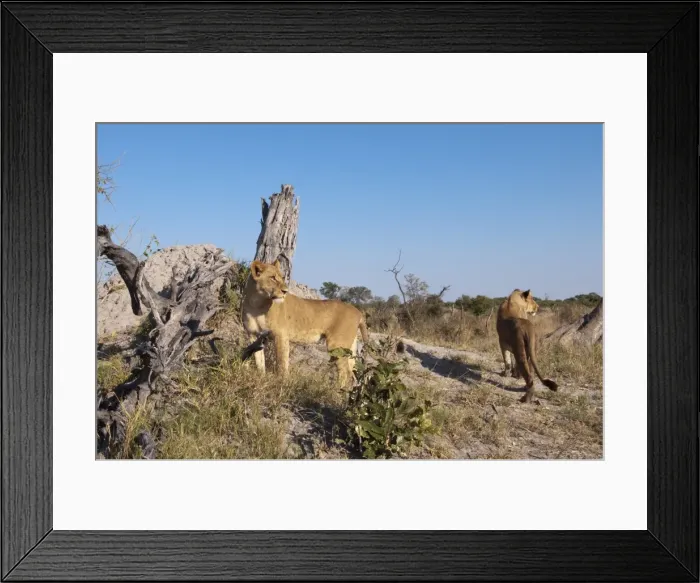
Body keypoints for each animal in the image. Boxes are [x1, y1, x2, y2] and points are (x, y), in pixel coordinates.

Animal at [241, 259, 370, 387]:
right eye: (272, 277)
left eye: (282, 278)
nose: (285, 291)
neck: (257, 304)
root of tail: (358, 311)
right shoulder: (254, 336)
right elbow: (259, 361)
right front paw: (261, 378)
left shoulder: (281, 335)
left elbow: (282, 363)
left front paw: (282, 382)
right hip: (350, 346)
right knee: (352, 371)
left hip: (337, 345)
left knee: (345, 372)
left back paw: (336, 390)